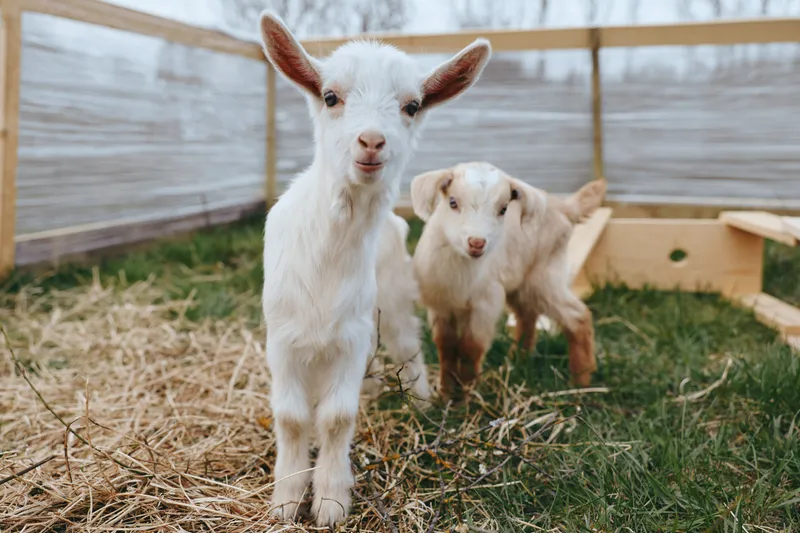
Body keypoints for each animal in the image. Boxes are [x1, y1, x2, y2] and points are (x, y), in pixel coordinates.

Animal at [258, 12, 491, 526]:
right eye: (330, 97)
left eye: (412, 105)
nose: (371, 141)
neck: (326, 257)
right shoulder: (282, 337)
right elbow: (291, 416)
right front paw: (286, 498)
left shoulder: (351, 334)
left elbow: (337, 417)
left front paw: (330, 500)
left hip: (393, 300)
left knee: (406, 343)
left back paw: (421, 401)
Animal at [410, 162, 606, 399]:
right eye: (453, 202)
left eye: (503, 209)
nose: (477, 243)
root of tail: (563, 206)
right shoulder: (439, 305)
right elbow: (446, 348)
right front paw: (445, 394)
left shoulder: (486, 304)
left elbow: (469, 349)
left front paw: (465, 399)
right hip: (519, 283)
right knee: (527, 317)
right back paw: (517, 361)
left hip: (544, 277)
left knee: (577, 316)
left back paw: (581, 382)